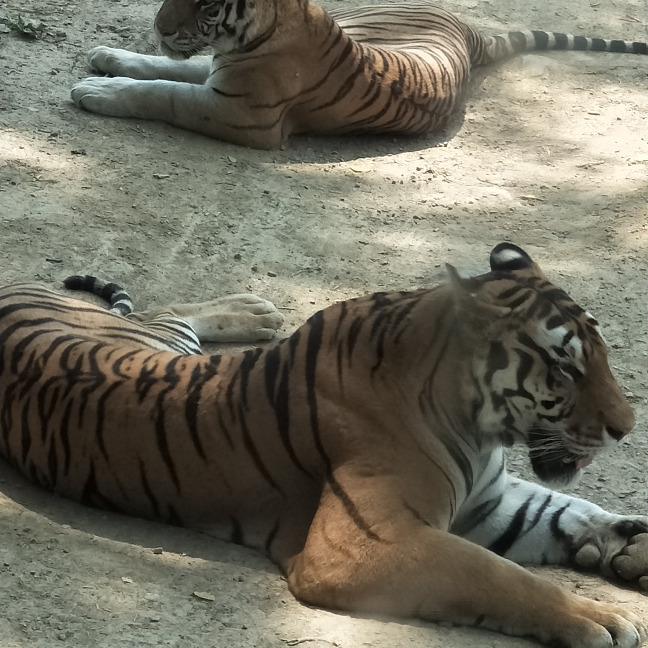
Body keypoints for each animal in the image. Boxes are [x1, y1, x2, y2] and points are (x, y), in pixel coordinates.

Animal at [1, 244, 648, 648]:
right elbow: (500, 576)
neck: (476, 424)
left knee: (170, 310)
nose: (625, 427)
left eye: (601, 354)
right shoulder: (360, 546)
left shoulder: (489, 504)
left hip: (165, 343)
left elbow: (573, 513)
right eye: (564, 367)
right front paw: (599, 618)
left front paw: (630, 548)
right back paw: (254, 309)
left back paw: (255, 312)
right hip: (153, 337)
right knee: (164, 309)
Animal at [68, 0, 644, 149]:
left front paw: (97, 89)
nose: (159, 26)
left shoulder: (242, 113)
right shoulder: (218, 75)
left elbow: (162, 91)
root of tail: (468, 29)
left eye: (206, 5)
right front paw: (108, 57)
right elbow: (165, 67)